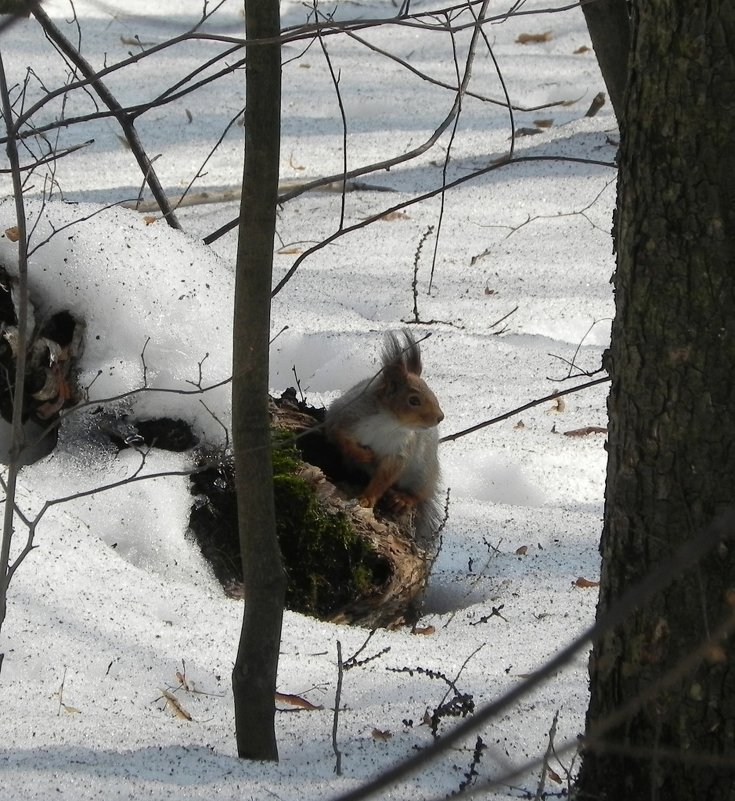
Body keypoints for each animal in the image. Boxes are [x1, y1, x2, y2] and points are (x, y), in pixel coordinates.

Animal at [326, 330, 442, 544]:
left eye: (432, 392)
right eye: (414, 400)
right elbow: (340, 438)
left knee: (422, 493)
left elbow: (385, 475)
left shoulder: (401, 449)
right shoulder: (344, 417)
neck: (389, 422)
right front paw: (363, 455)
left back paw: (403, 499)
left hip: (423, 471)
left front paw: (368, 498)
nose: (440, 417)